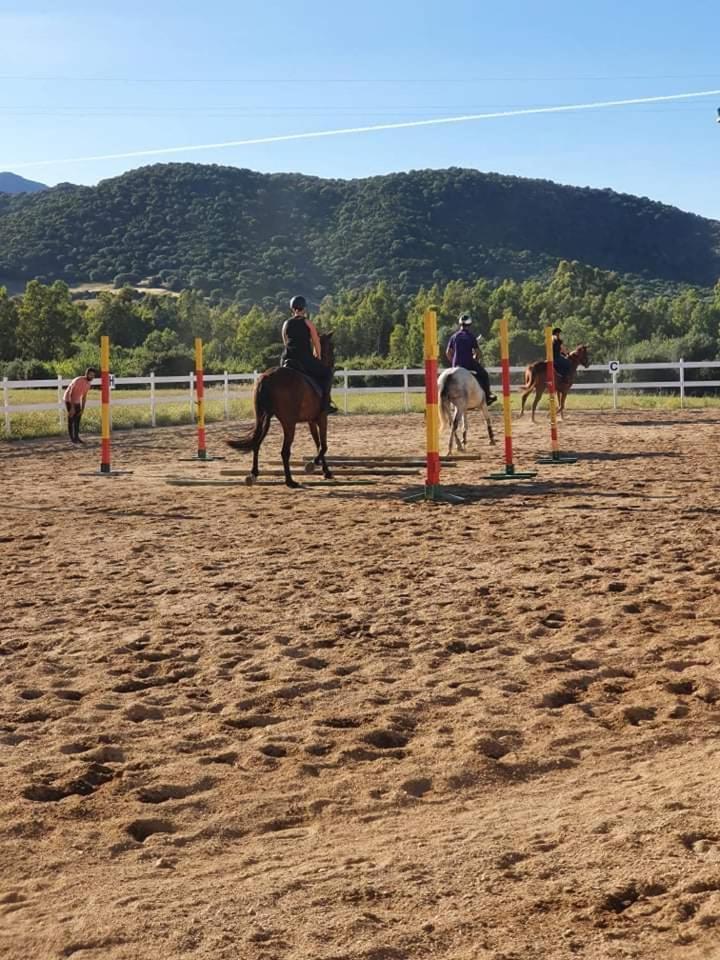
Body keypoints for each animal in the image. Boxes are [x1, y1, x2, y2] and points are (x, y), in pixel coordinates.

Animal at [228, 336, 334, 488]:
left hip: (263, 419)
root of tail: (267, 377)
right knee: (284, 452)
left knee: (256, 444)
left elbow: (318, 443)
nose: (332, 364)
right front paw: (313, 465)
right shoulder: (322, 418)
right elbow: (323, 446)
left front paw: (326, 471)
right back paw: (290, 481)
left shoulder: (311, 421)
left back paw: (253, 474)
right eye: (331, 346)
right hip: (289, 424)